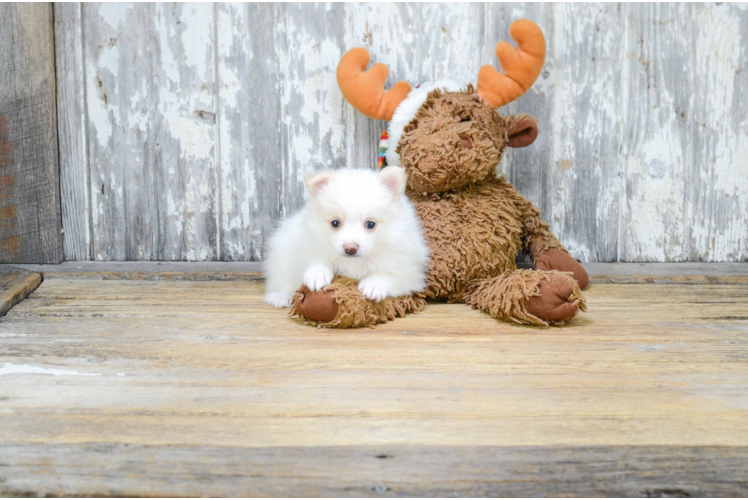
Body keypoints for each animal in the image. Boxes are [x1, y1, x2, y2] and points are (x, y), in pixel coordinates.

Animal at [262, 168, 430, 308]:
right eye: (335, 223)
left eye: (370, 224)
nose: (350, 248)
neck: (354, 262)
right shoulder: (309, 243)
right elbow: (317, 260)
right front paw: (317, 275)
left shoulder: (408, 271)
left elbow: (387, 275)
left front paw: (373, 286)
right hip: (282, 250)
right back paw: (281, 296)